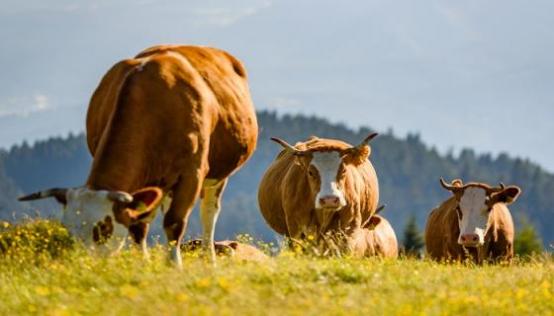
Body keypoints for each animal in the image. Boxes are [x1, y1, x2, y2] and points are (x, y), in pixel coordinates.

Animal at [18, 44, 256, 266]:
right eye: (68, 229)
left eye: (103, 228)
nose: (84, 264)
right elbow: (138, 226)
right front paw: (145, 264)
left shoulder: (192, 173)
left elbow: (174, 222)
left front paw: (175, 266)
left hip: (218, 175)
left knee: (208, 214)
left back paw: (210, 259)